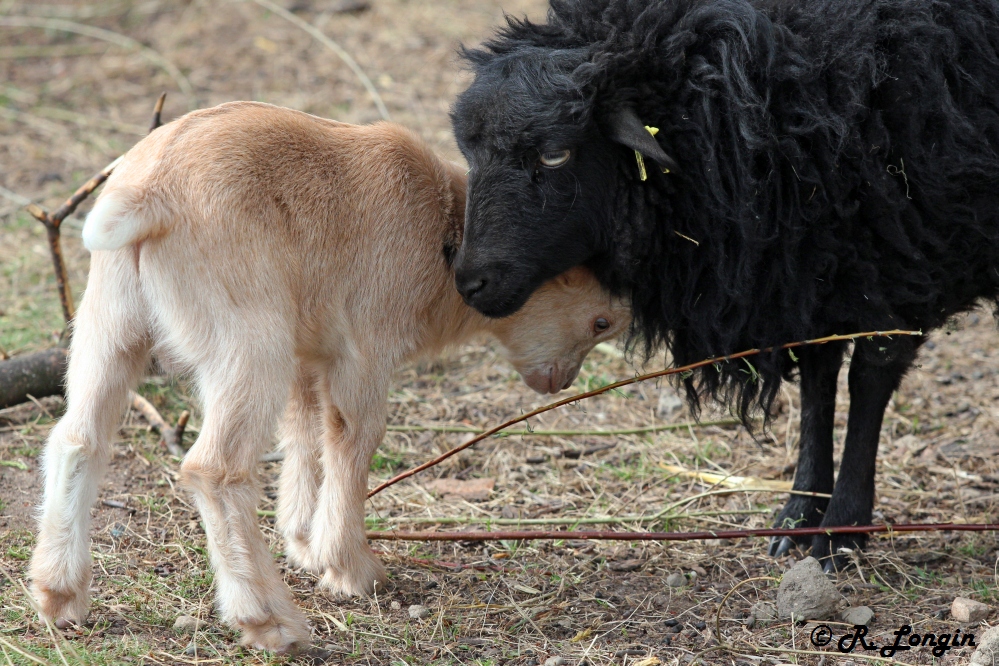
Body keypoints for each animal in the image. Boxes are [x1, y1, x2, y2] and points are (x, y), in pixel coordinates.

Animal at [452, 1, 999, 572]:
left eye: (554, 155)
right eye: (469, 153)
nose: (470, 282)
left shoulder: (900, 263)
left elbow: (867, 383)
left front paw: (841, 531)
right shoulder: (811, 271)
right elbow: (818, 382)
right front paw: (797, 515)